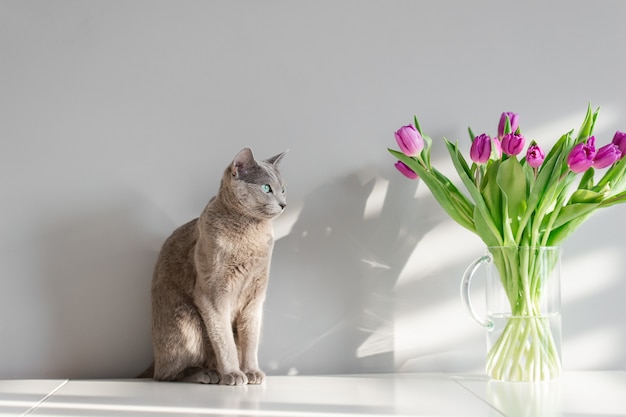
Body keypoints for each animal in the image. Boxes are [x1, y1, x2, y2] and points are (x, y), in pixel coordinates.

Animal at [144, 147, 286, 384]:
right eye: (266, 188)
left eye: (283, 190)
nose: (284, 204)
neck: (251, 236)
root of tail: (154, 361)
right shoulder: (212, 294)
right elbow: (224, 340)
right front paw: (233, 374)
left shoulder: (255, 297)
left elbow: (250, 339)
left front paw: (252, 372)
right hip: (186, 318)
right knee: (167, 375)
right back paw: (208, 373)